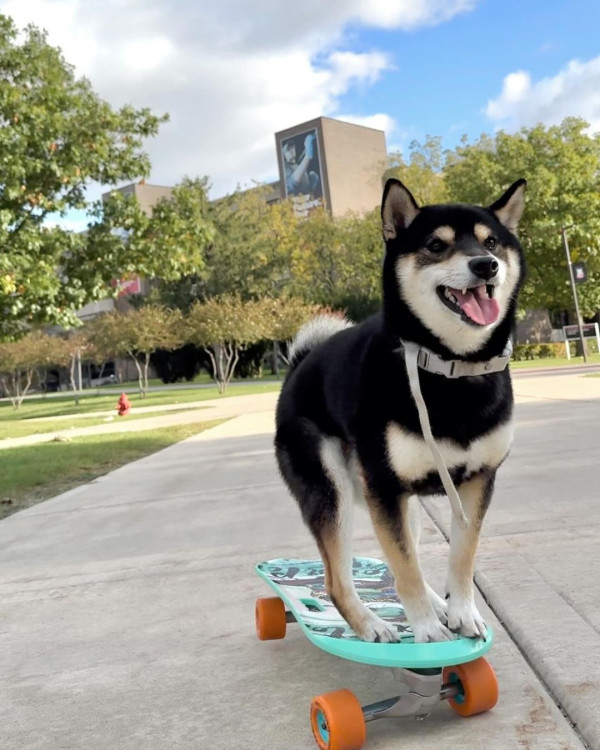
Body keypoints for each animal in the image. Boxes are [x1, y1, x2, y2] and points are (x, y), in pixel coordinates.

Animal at [276, 181, 524, 648]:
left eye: (491, 242)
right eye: (436, 245)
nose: (486, 266)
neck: (451, 368)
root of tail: (298, 365)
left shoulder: (477, 482)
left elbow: (461, 555)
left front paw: (461, 612)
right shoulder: (386, 489)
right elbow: (406, 568)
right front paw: (425, 629)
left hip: (402, 503)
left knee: (396, 560)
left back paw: (437, 604)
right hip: (335, 490)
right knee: (339, 581)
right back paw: (372, 625)